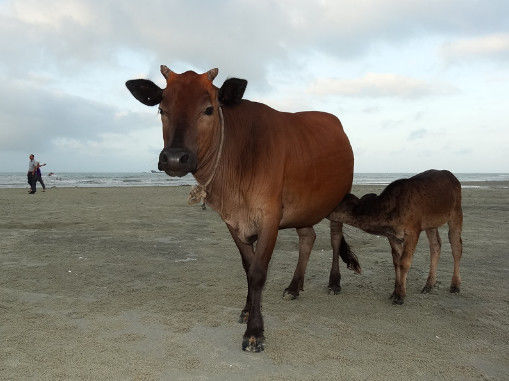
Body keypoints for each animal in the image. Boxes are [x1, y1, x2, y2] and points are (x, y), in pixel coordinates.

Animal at [125, 66, 360, 350]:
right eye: (162, 109)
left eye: (209, 109)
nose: (173, 158)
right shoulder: (232, 221)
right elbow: (248, 267)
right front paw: (247, 311)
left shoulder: (270, 216)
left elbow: (259, 272)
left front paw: (254, 332)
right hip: (305, 206)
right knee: (308, 237)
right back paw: (294, 287)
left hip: (339, 196)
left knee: (335, 237)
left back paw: (334, 282)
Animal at [328, 169, 462, 302]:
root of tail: (452, 176)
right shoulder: (392, 236)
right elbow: (397, 261)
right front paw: (395, 292)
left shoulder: (413, 230)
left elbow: (404, 262)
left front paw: (400, 296)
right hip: (431, 223)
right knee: (435, 245)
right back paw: (429, 285)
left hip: (456, 211)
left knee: (456, 246)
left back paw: (455, 285)